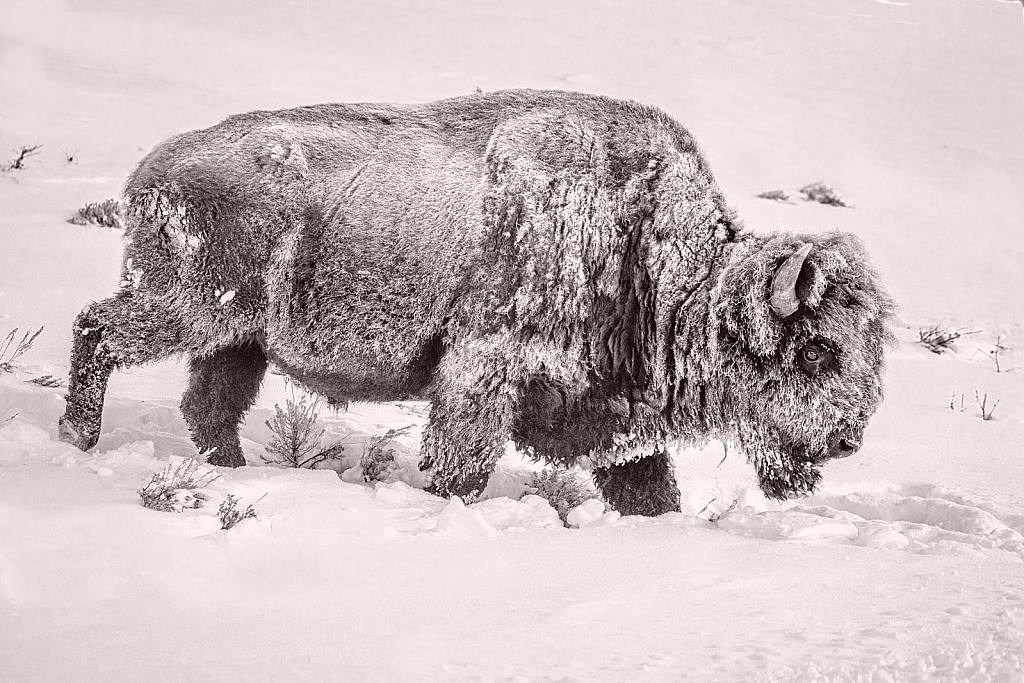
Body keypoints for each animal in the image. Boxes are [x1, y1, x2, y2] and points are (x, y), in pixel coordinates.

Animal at [56, 92, 892, 518]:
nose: (847, 438)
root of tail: (152, 169)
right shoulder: (481, 373)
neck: (642, 249)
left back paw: (228, 469)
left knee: (210, 406)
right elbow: (463, 464)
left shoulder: (617, 422)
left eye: (872, 353)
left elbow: (648, 487)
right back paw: (78, 439)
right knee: (97, 330)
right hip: (182, 308)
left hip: (238, 339)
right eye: (816, 349)